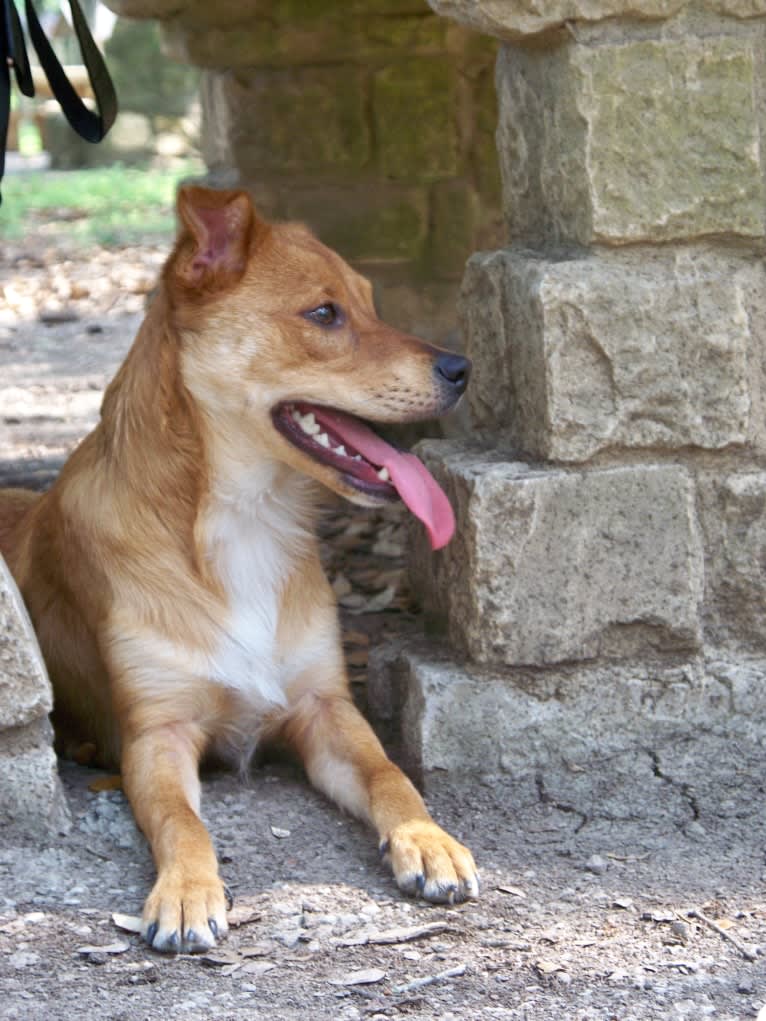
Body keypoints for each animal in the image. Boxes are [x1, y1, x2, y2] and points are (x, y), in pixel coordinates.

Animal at [0, 185, 480, 955]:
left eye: (370, 303)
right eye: (324, 314)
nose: (462, 368)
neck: (243, 521)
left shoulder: (325, 709)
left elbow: (392, 774)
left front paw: (427, 839)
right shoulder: (157, 737)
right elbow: (182, 822)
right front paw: (187, 891)